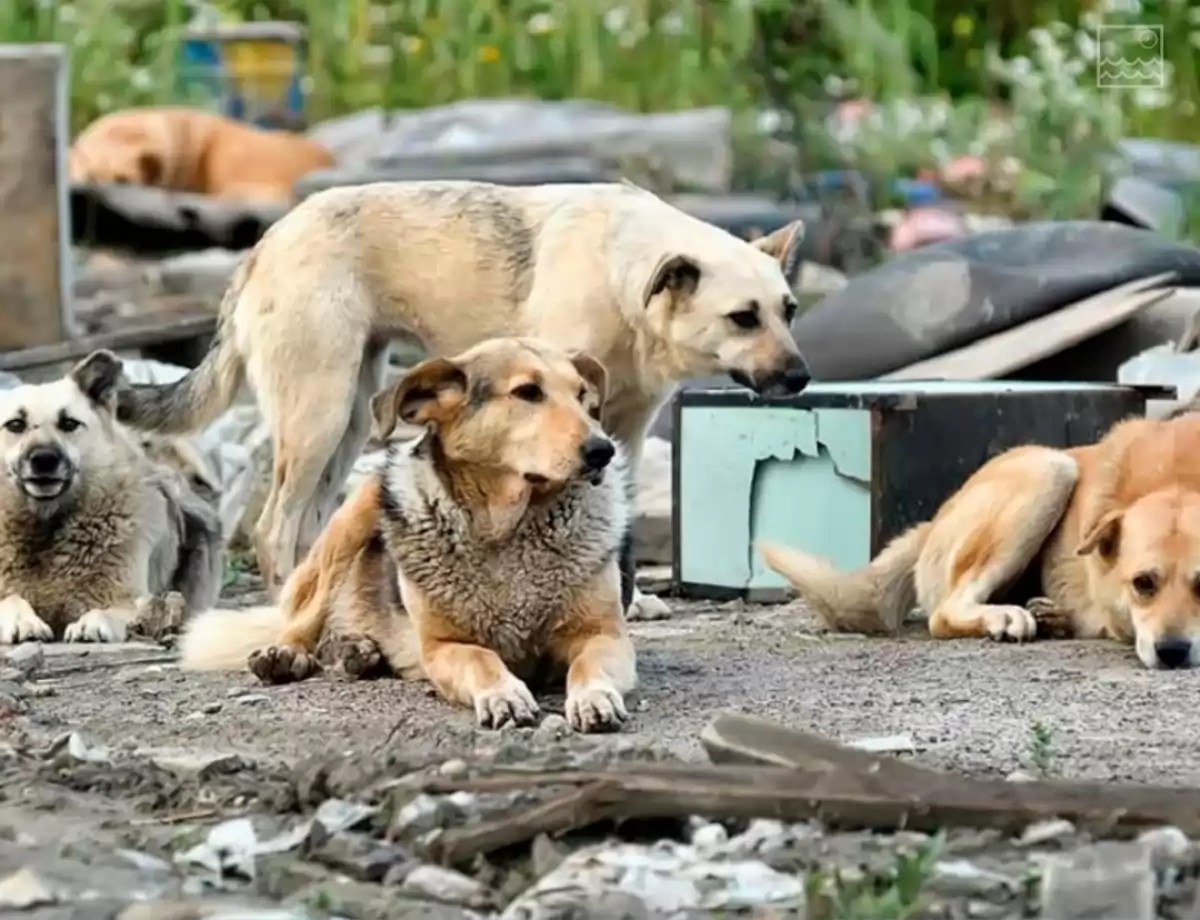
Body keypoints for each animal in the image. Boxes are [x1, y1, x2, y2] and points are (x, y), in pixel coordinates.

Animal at [177, 338, 638, 734]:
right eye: (527, 392)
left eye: (583, 396)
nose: (603, 451)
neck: (506, 529)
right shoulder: (443, 646)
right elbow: (482, 660)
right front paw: (502, 693)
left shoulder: (604, 636)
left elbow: (588, 666)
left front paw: (594, 698)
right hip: (359, 507)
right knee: (306, 616)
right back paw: (290, 653)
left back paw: (360, 651)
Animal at [763, 415, 1200, 671]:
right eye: (1143, 583)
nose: (1173, 652)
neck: (1182, 478)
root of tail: (934, 521)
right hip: (1049, 469)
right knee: (944, 613)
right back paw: (1004, 616)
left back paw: (1053, 616)